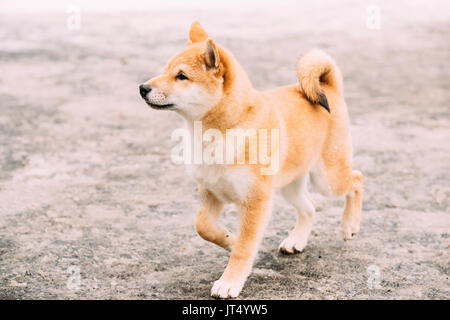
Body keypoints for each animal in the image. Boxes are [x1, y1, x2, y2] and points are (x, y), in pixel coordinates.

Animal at [139, 21, 364, 298]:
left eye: (181, 76)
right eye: (165, 70)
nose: (142, 88)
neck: (225, 129)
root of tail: (329, 86)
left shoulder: (255, 202)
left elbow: (244, 249)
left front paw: (230, 281)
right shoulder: (210, 191)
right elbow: (203, 226)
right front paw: (229, 239)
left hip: (328, 179)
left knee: (356, 180)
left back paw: (349, 225)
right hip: (290, 185)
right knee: (310, 207)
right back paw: (296, 241)